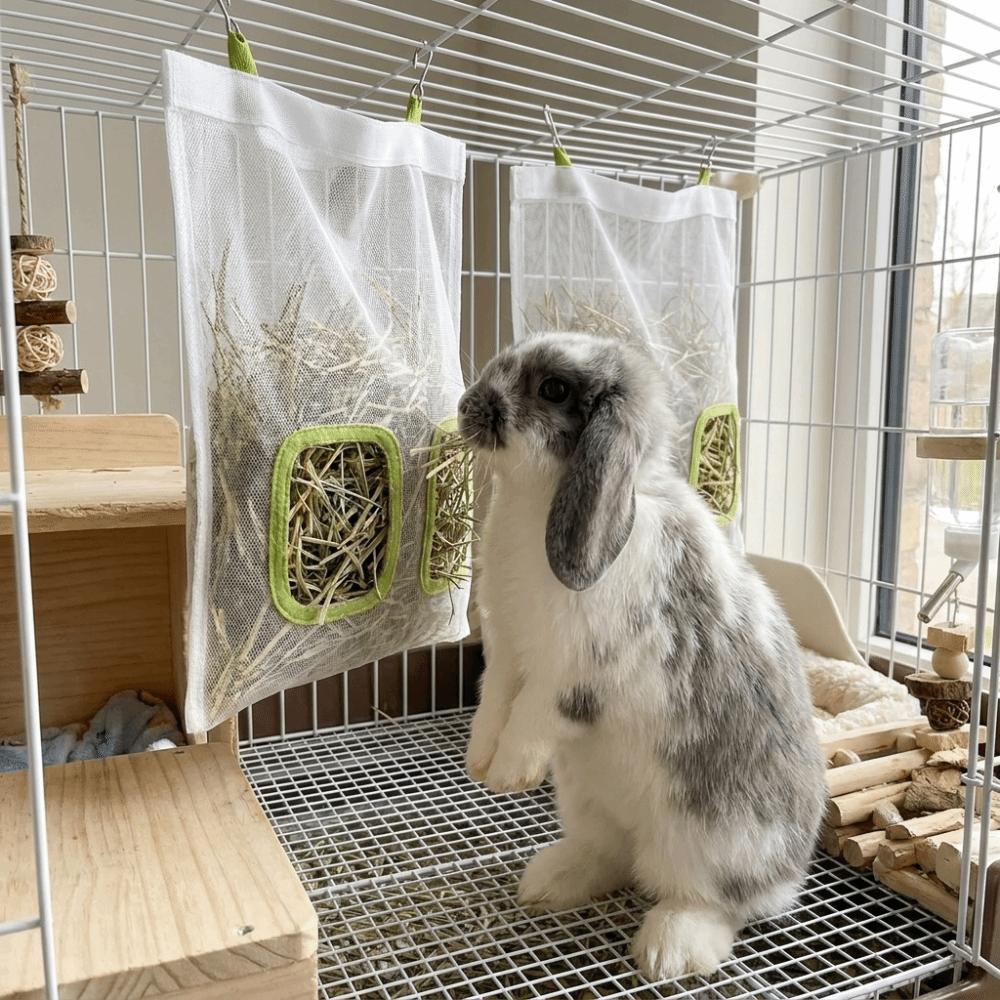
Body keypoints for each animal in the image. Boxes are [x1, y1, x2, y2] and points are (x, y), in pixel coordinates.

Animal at [456, 331, 826, 982]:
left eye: (553, 388)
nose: (467, 405)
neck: (540, 498)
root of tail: (788, 873)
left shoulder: (572, 672)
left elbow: (532, 718)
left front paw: (507, 775)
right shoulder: (506, 655)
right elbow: (494, 703)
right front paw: (480, 763)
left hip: (707, 839)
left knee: (715, 902)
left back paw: (669, 949)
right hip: (586, 799)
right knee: (612, 859)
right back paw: (548, 882)